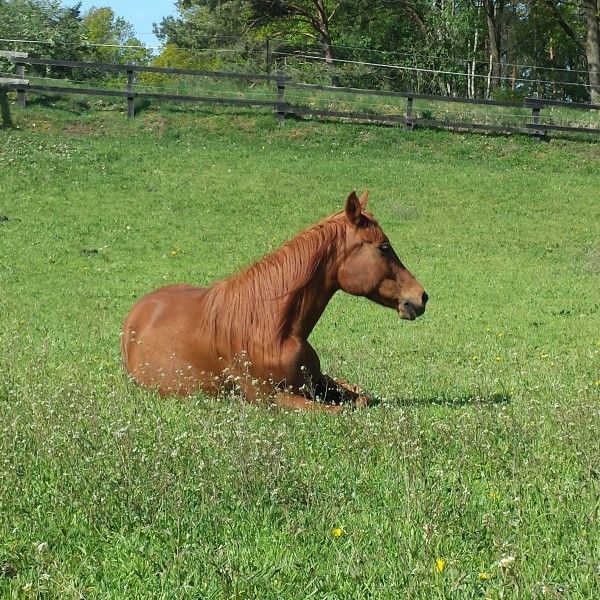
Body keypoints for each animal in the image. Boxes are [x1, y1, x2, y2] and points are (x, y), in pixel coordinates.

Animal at [122, 192, 426, 412]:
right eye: (384, 247)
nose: (421, 296)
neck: (272, 328)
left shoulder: (316, 381)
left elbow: (361, 397)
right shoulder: (269, 398)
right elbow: (341, 411)